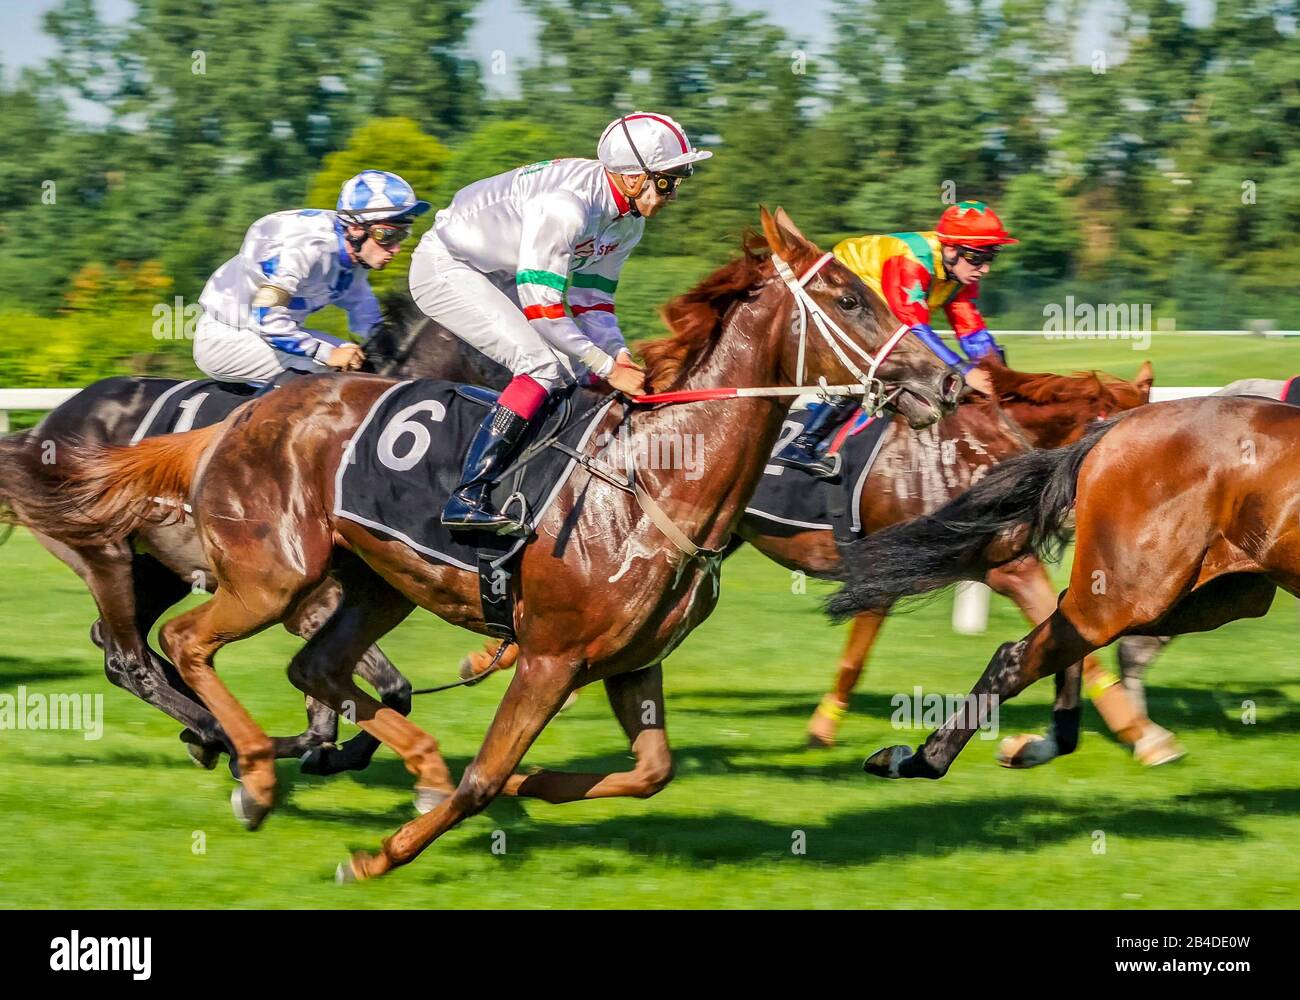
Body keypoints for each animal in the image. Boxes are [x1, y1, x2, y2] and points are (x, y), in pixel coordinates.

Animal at [15, 206, 961, 879]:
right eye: (849, 299)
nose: (944, 378)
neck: (655, 476)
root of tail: (238, 420)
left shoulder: (632, 661)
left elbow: (650, 769)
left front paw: (525, 787)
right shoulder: (550, 655)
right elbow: (482, 776)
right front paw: (380, 855)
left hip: (369, 585)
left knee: (317, 669)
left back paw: (354, 758)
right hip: (265, 576)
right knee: (174, 647)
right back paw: (248, 766)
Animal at [826, 390, 1300, 780]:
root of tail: (1116, 428)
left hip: (1222, 592)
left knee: (1064, 625)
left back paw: (1045, 744)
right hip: (1135, 589)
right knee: (1023, 652)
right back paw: (920, 760)